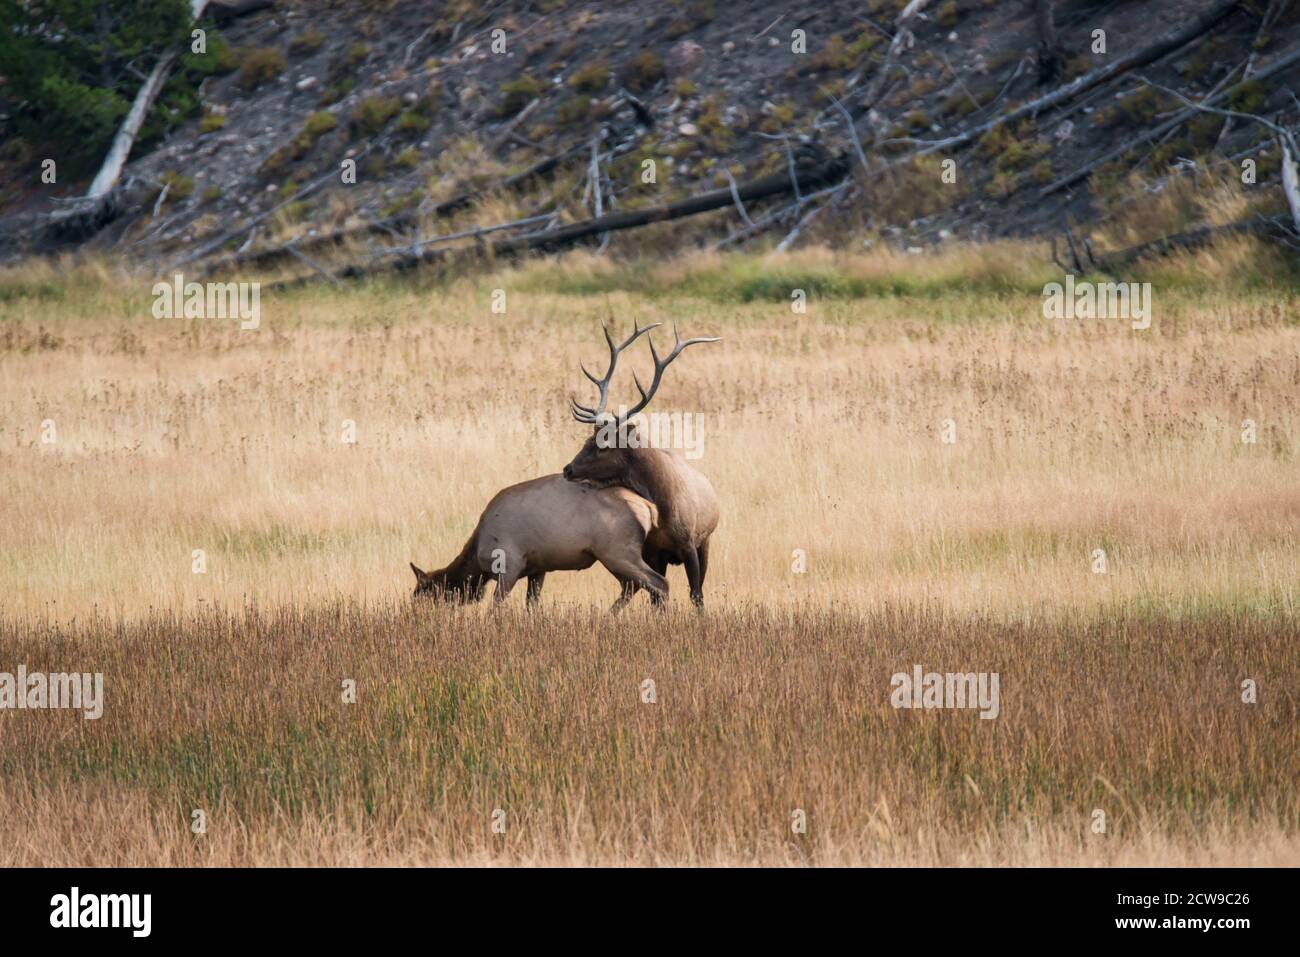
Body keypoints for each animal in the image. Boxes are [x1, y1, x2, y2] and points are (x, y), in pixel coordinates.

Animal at [409, 475, 668, 610]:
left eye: (422, 597)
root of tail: (648, 507)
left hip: (617, 552)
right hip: (613, 556)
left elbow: (496, 607)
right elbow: (531, 606)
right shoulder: (538, 569)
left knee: (659, 583)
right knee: (632, 586)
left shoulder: (509, 565)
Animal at [563, 322, 721, 607]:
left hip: (707, 541)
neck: (663, 505)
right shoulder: (652, 551)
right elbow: (655, 597)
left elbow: (696, 595)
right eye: (587, 438)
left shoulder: (690, 544)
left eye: (603, 445)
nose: (568, 469)